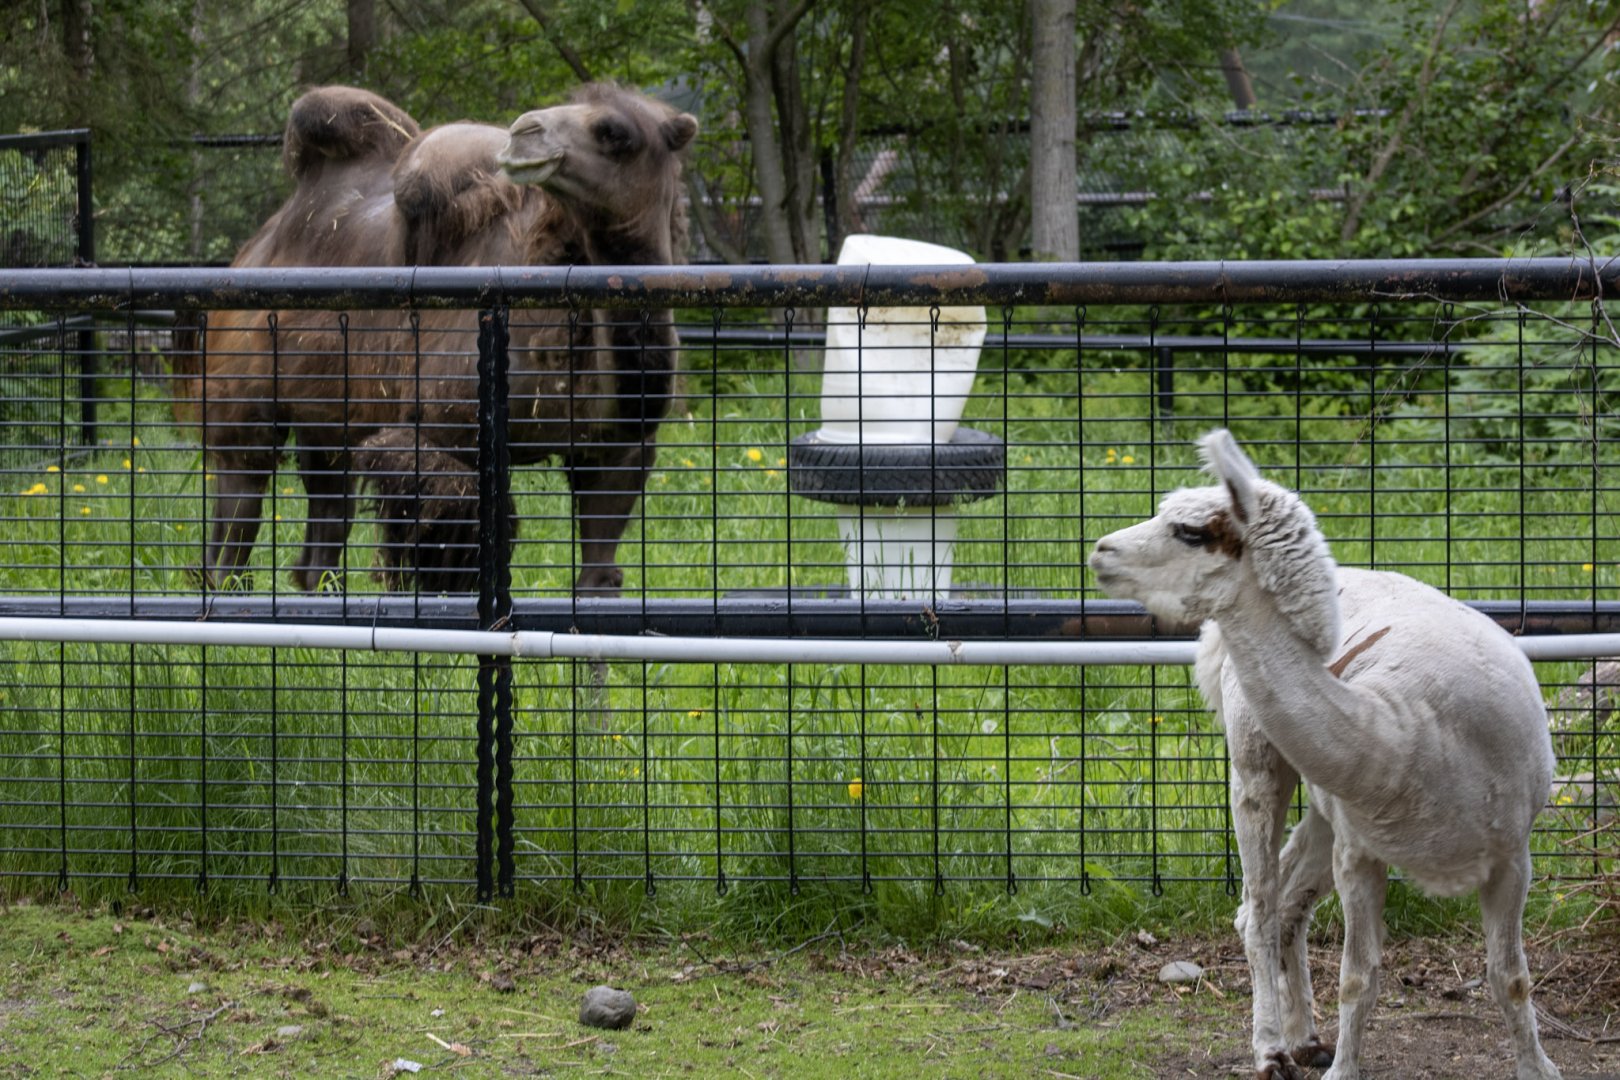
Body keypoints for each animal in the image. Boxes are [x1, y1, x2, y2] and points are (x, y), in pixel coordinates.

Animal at [186, 83, 697, 593]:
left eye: (614, 132)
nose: (524, 130)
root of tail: (253, 248)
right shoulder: (446, 431)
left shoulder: (617, 447)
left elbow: (599, 560)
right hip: (242, 379)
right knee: (242, 484)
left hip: (327, 410)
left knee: (327, 506)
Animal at [1088, 430, 1561, 1080]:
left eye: (1189, 530)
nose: (1101, 549)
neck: (1408, 734)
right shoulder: (1360, 853)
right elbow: (1359, 977)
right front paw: (1342, 1069)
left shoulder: (1512, 853)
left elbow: (1509, 976)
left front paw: (1539, 1068)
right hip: (1258, 763)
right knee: (1259, 906)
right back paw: (1270, 1050)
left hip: (1323, 802)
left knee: (1285, 903)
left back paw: (1304, 1039)